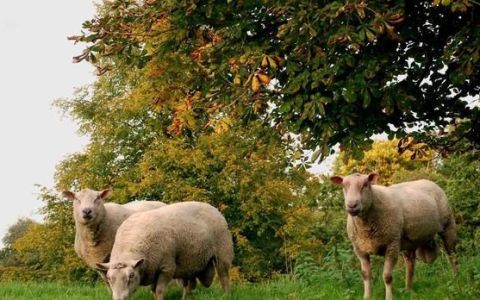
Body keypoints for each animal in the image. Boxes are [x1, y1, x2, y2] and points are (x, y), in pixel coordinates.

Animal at [94, 200, 233, 300]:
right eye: (109, 278)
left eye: (131, 276)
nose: (119, 299)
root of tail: (211, 207)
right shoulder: (153, 269)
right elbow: (153, 291)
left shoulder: (167, 267)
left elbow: (159, 291)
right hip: (190, 262)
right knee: (190, 284)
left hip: (223, 251)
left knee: (224, 277)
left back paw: (225, 295)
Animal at [330, 173, 458, 300]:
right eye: (343, 185)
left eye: (365, 184)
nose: (352, 205)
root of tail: (429, 181)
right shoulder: (359, 249)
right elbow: (365, 275)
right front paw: (367, 297)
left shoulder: (392, 244)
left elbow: (387, 276)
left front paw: (389, 297)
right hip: (408, 241)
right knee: (410, 263)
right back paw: (408, 290)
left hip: (448, 224)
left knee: (452, 254)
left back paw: (456, 279)